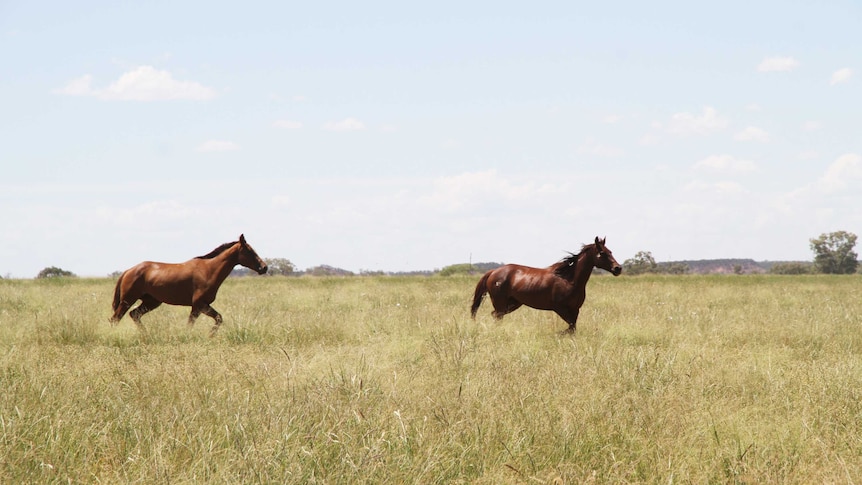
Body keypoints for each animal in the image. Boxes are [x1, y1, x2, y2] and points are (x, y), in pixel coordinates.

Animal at [110, 233, 266, 332]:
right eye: (249, 251)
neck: (209, 270)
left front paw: (210, 335)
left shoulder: (203, 305)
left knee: (134, 315)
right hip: (128, 300)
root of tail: (128, 271)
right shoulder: (198, 304)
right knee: (115, 319)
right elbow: (191, 324)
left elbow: (219, 319)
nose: (264, 267)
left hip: (151, 302)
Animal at [472, 237, 620, 332]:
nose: (618, 268)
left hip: (513, 303)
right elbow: (570, 327)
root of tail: (493, 272)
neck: (569, 280)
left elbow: (573, 328)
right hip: (501, 303)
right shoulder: (559, 308)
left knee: (495, 315)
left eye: (610, 251)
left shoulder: (575, 309)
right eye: (602, 253)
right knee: (497, 316)